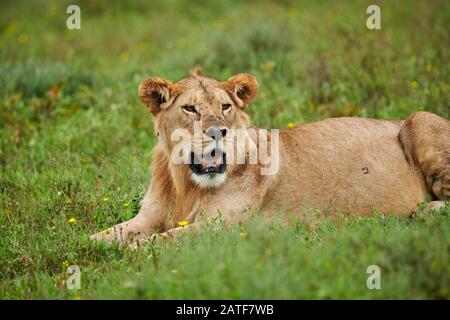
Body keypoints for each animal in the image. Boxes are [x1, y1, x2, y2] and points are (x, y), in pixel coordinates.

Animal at [92, 69, 450, 245]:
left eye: (226, 107)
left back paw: (424, 211)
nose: (218, 132)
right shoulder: (147, 218)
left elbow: (153, 243)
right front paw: (88, 248)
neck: (184, 184)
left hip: (419, 119)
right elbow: (104, 237)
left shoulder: (222, 227)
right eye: (190, 108)